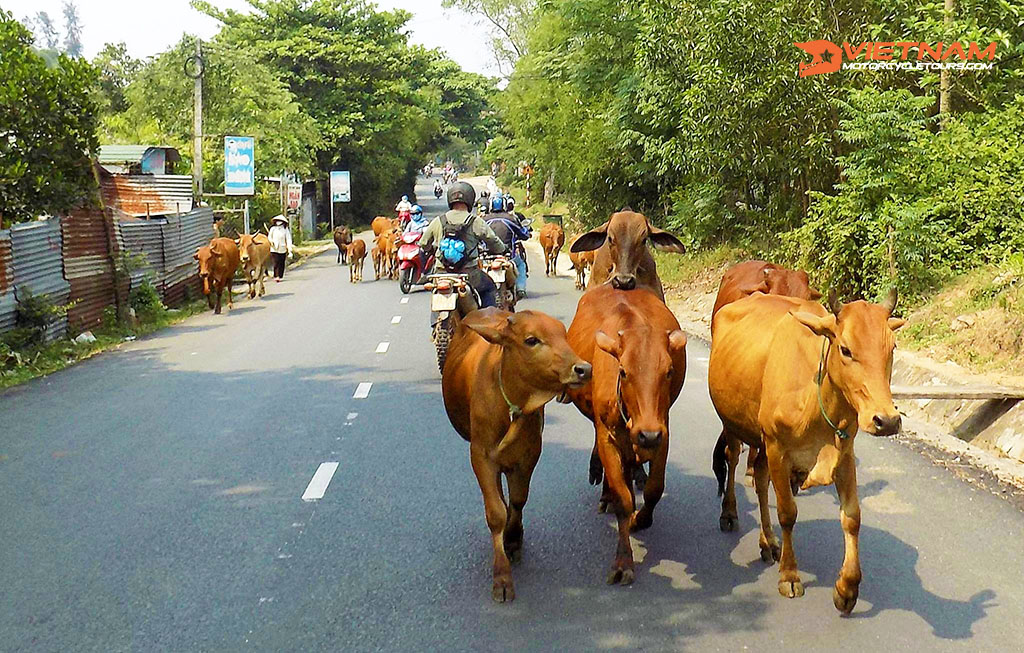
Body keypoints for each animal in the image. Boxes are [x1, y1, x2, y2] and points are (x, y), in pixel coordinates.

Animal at [440, 307, 593, 605]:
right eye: (531, 340)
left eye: (563, 334)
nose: (583, 369)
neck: (512, 404)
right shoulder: (481, 456)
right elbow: (496, 512)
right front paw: (501, 577)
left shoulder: (529, 455)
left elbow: (518, 501)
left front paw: (513, 537)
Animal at [569, 286, 688, 589]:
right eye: (623, 371)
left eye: (669, 371)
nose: (647, 434)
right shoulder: (607, 436)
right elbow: (623, 499)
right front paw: (623, 561)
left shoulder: (663, 432)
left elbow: (654, 489)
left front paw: (638, 519)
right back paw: (606, 495)